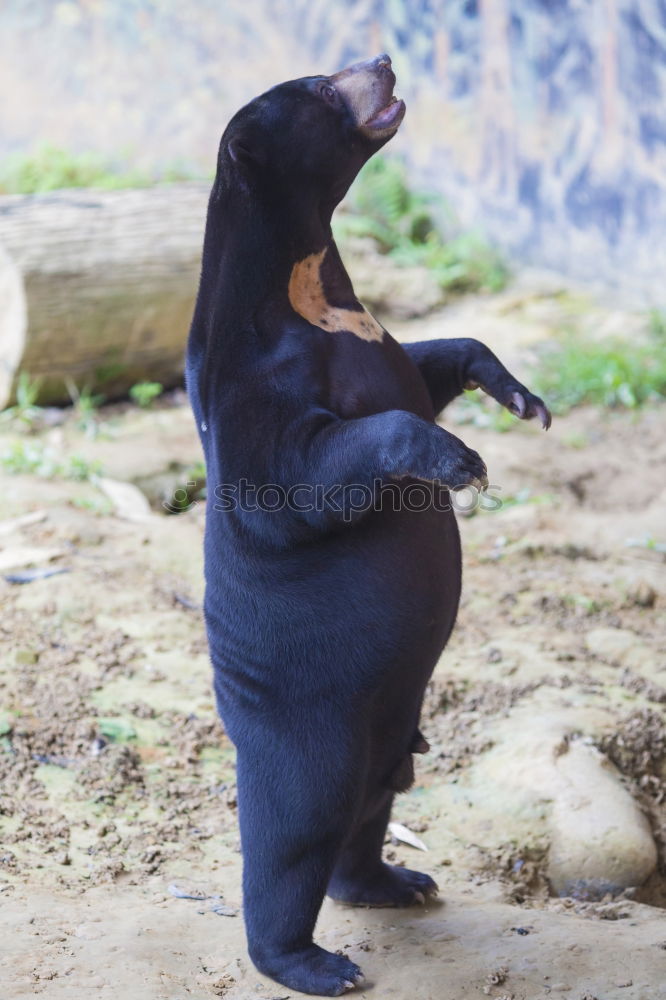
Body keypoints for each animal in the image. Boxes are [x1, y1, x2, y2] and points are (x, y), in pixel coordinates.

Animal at [184, 56, 548, 1000]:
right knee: (291, 838)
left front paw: (523, 399)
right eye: (319, 89)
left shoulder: (378, 341)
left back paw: (397, 882)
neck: (309, 285)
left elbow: (436, 358)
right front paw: (461, 461)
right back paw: (315, 964)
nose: (383, 61)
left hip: (388, 720)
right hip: (305, 729)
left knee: (369, 813)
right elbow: (297, 477)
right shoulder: (255, 395)